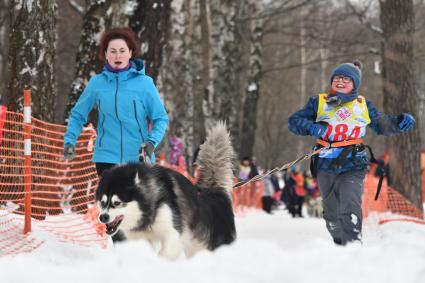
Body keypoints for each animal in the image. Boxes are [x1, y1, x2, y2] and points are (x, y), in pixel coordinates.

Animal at [95, 123, 235, 260]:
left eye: (117, 202)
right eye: (102, 202)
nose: (103, 217)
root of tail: (213, 191)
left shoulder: (173, 233)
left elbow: (164, 254)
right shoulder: (140, 238)